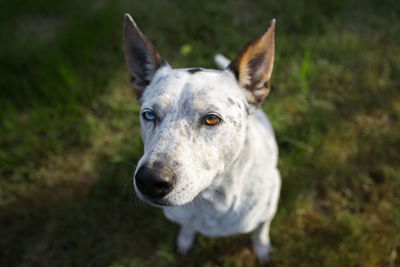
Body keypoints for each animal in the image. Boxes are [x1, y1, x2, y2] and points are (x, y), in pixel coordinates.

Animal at [123, 13, 282, 264]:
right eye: (148, 115)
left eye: (211, 119)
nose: (149, 180)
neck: (212, 201)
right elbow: (187, 227)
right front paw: (185, 239)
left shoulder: (268, 206)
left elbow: (260, 230)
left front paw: (262, 247)